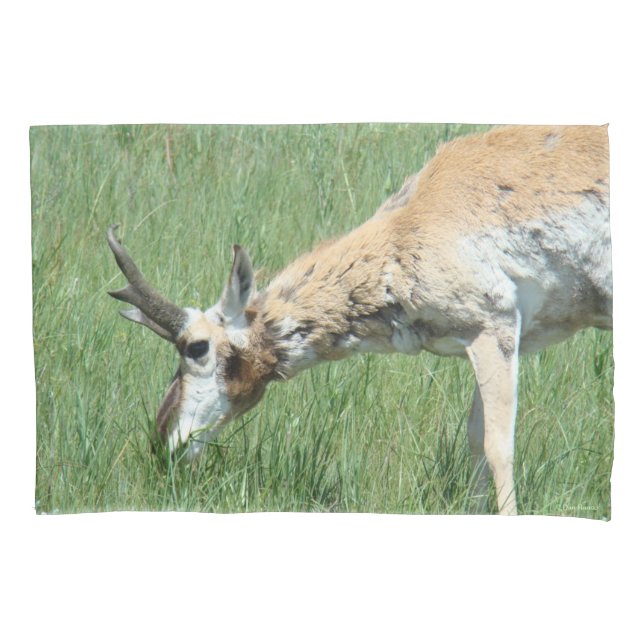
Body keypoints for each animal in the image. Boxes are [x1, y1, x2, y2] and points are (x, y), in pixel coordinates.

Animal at [107, 125, 611, 515]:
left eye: (196, 347)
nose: (160, 444)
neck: (409, 225)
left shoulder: (495, 329)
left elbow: (497, 446)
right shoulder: (484, 338)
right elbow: (474, 440)